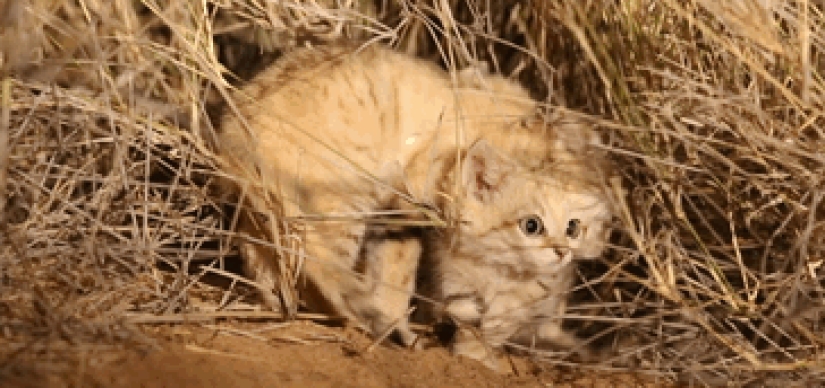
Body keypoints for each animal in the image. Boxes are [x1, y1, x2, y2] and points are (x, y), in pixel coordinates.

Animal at [216, 44, 616, 368]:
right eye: (532, 224)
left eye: (576, 225)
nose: (571, 250)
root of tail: (236, 130)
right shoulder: (406, 201)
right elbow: (400, 271)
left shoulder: (396, 212)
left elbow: (392, 269)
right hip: (339, 204)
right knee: (323, 268)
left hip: (267, 210)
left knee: (263, 256)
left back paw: (276, 305)